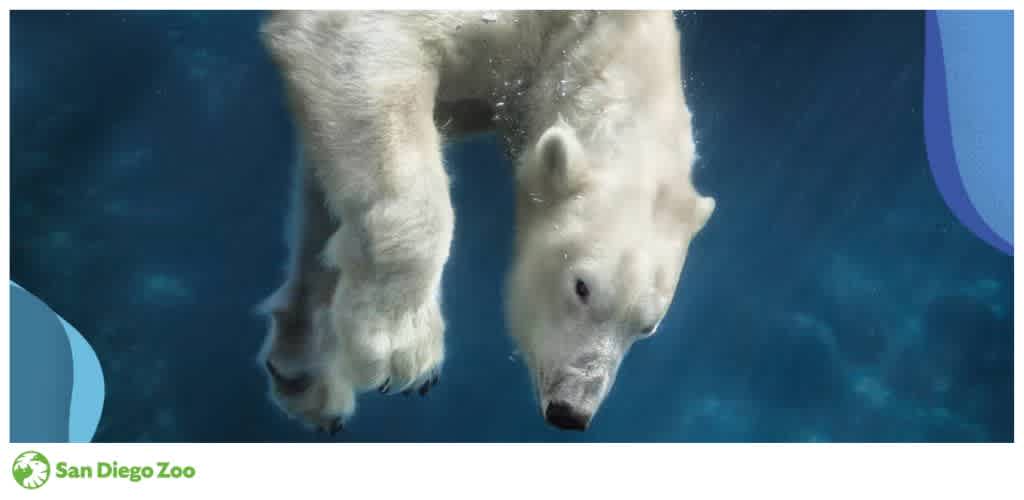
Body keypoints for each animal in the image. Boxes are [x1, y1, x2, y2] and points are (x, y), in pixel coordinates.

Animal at [257, 10, 715, 433]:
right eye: (581, 287)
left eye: (647, 326)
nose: (570, 412)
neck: (590, 29)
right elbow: (359, 49)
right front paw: (402, 346)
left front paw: (307, 372)